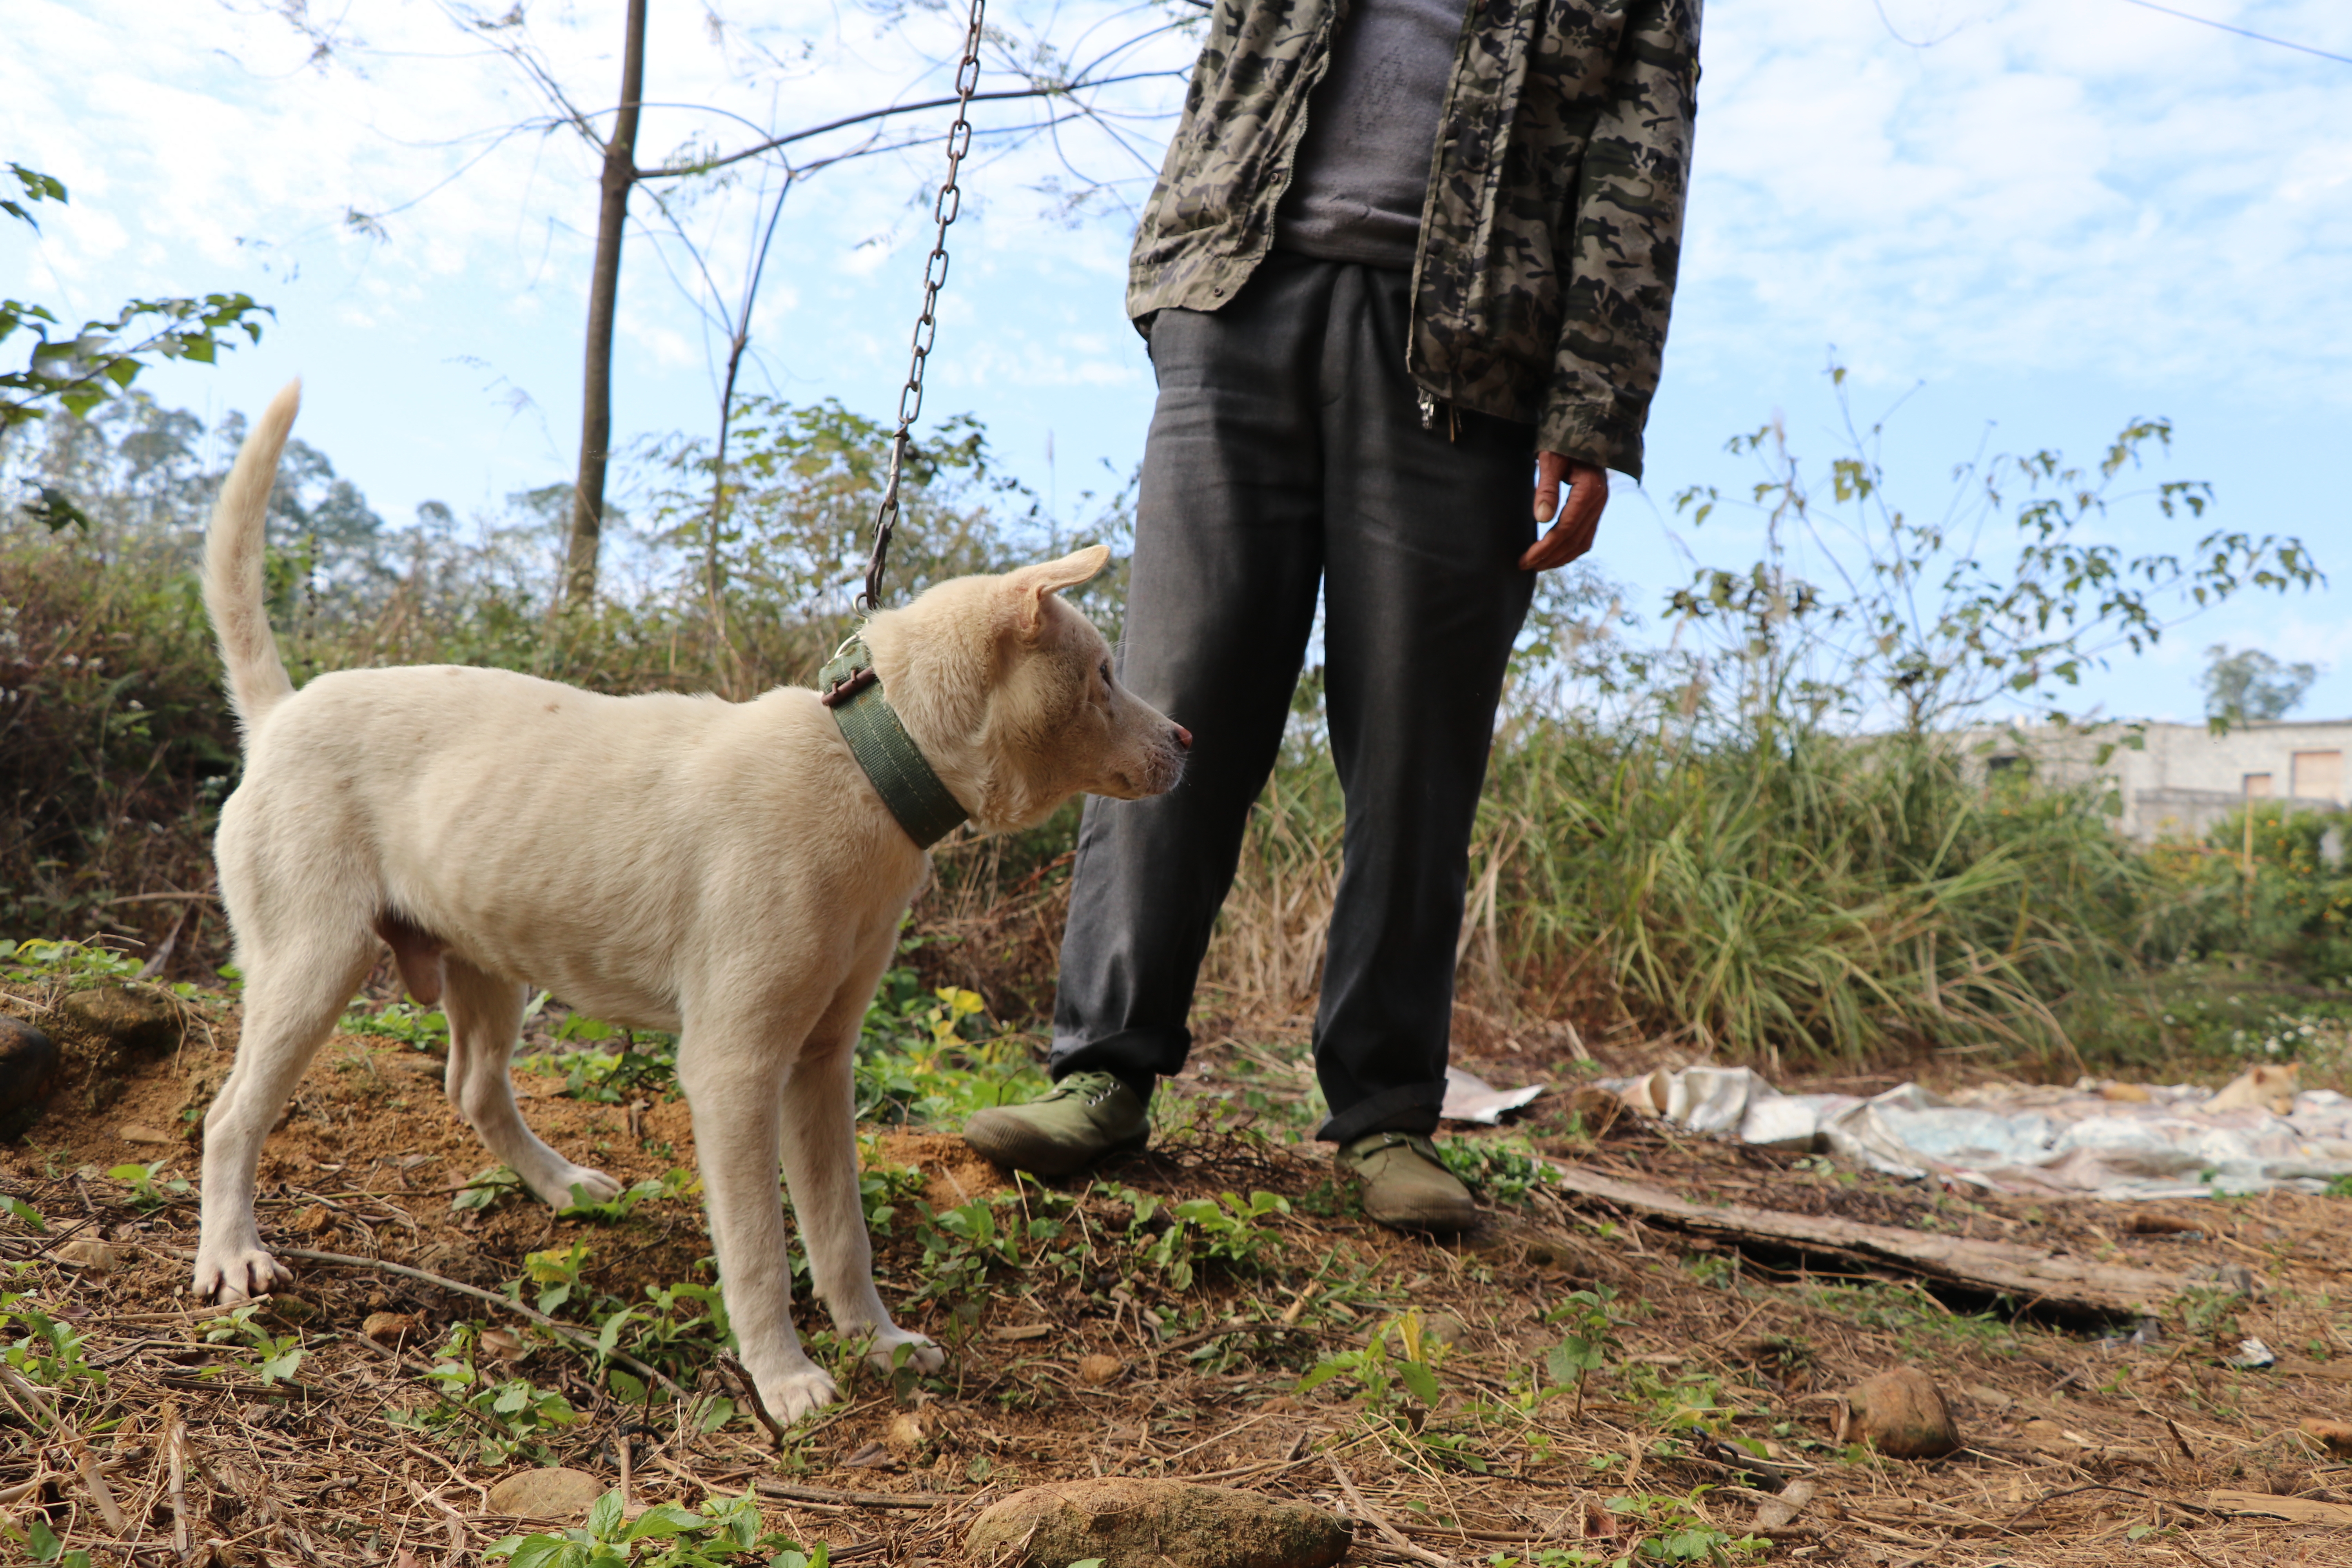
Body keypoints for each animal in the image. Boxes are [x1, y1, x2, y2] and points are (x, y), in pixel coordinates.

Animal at [198, 381, 1195, 1420]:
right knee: (230, 1117)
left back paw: (561, 1186)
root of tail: (280, 714)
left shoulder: (821, 1062)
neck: (868, 764)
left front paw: (874, 1340)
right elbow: (758, 1247)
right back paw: (232, 1253)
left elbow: (840, 1228)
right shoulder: (734, 1068)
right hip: (314, 961)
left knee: (471, 1085)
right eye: (1104, 677)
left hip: (485, 961)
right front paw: (785, 1377)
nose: (1188, 739)